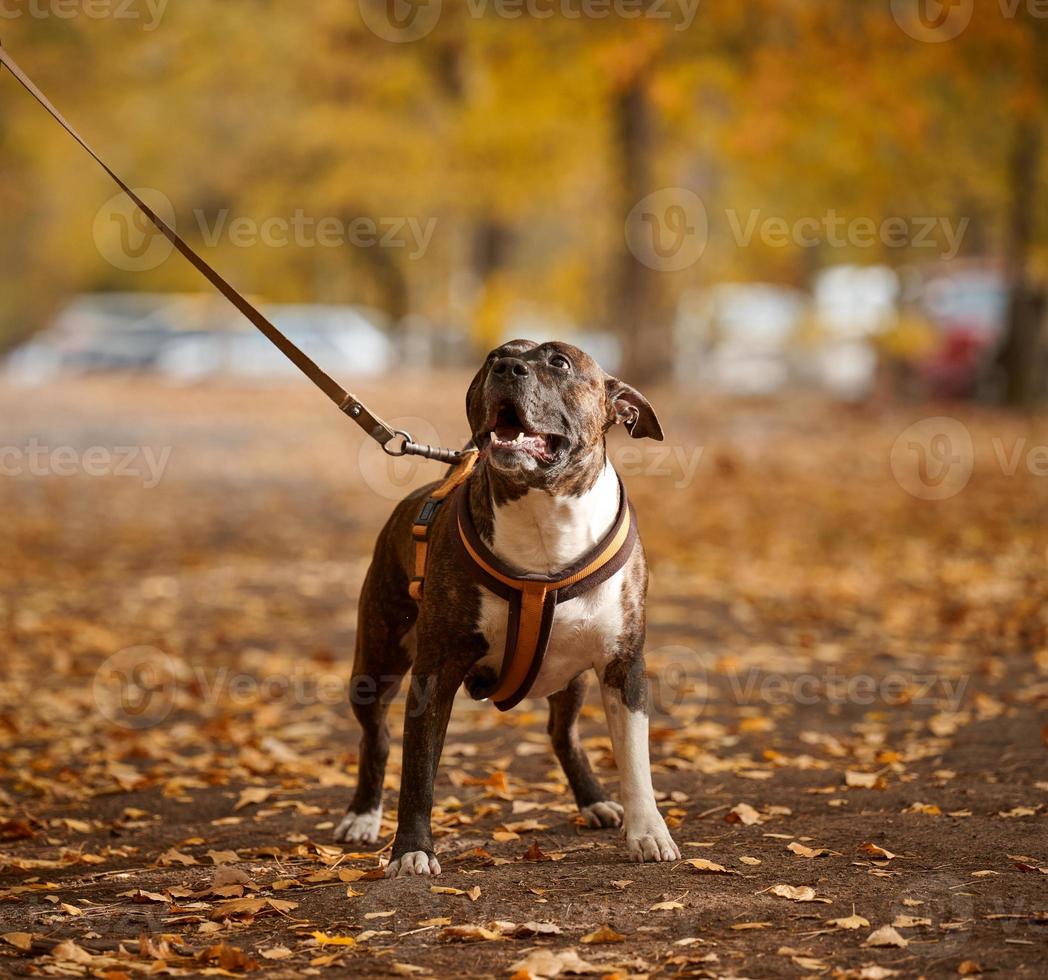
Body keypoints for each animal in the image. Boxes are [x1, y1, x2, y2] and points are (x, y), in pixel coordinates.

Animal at [335, 341, 679, 876]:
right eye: (494, 356)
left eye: (559, 363)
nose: (506, 367)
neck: (545, 512)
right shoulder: (435, 672)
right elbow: (419, 768)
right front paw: (412, 850)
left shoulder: (624, 666)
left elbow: (635, 761)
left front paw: (648, 833)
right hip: (377, 661)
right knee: (377, 738)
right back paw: (362, 816)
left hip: (571, 678)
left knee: (563, 733)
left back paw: (594, 800)